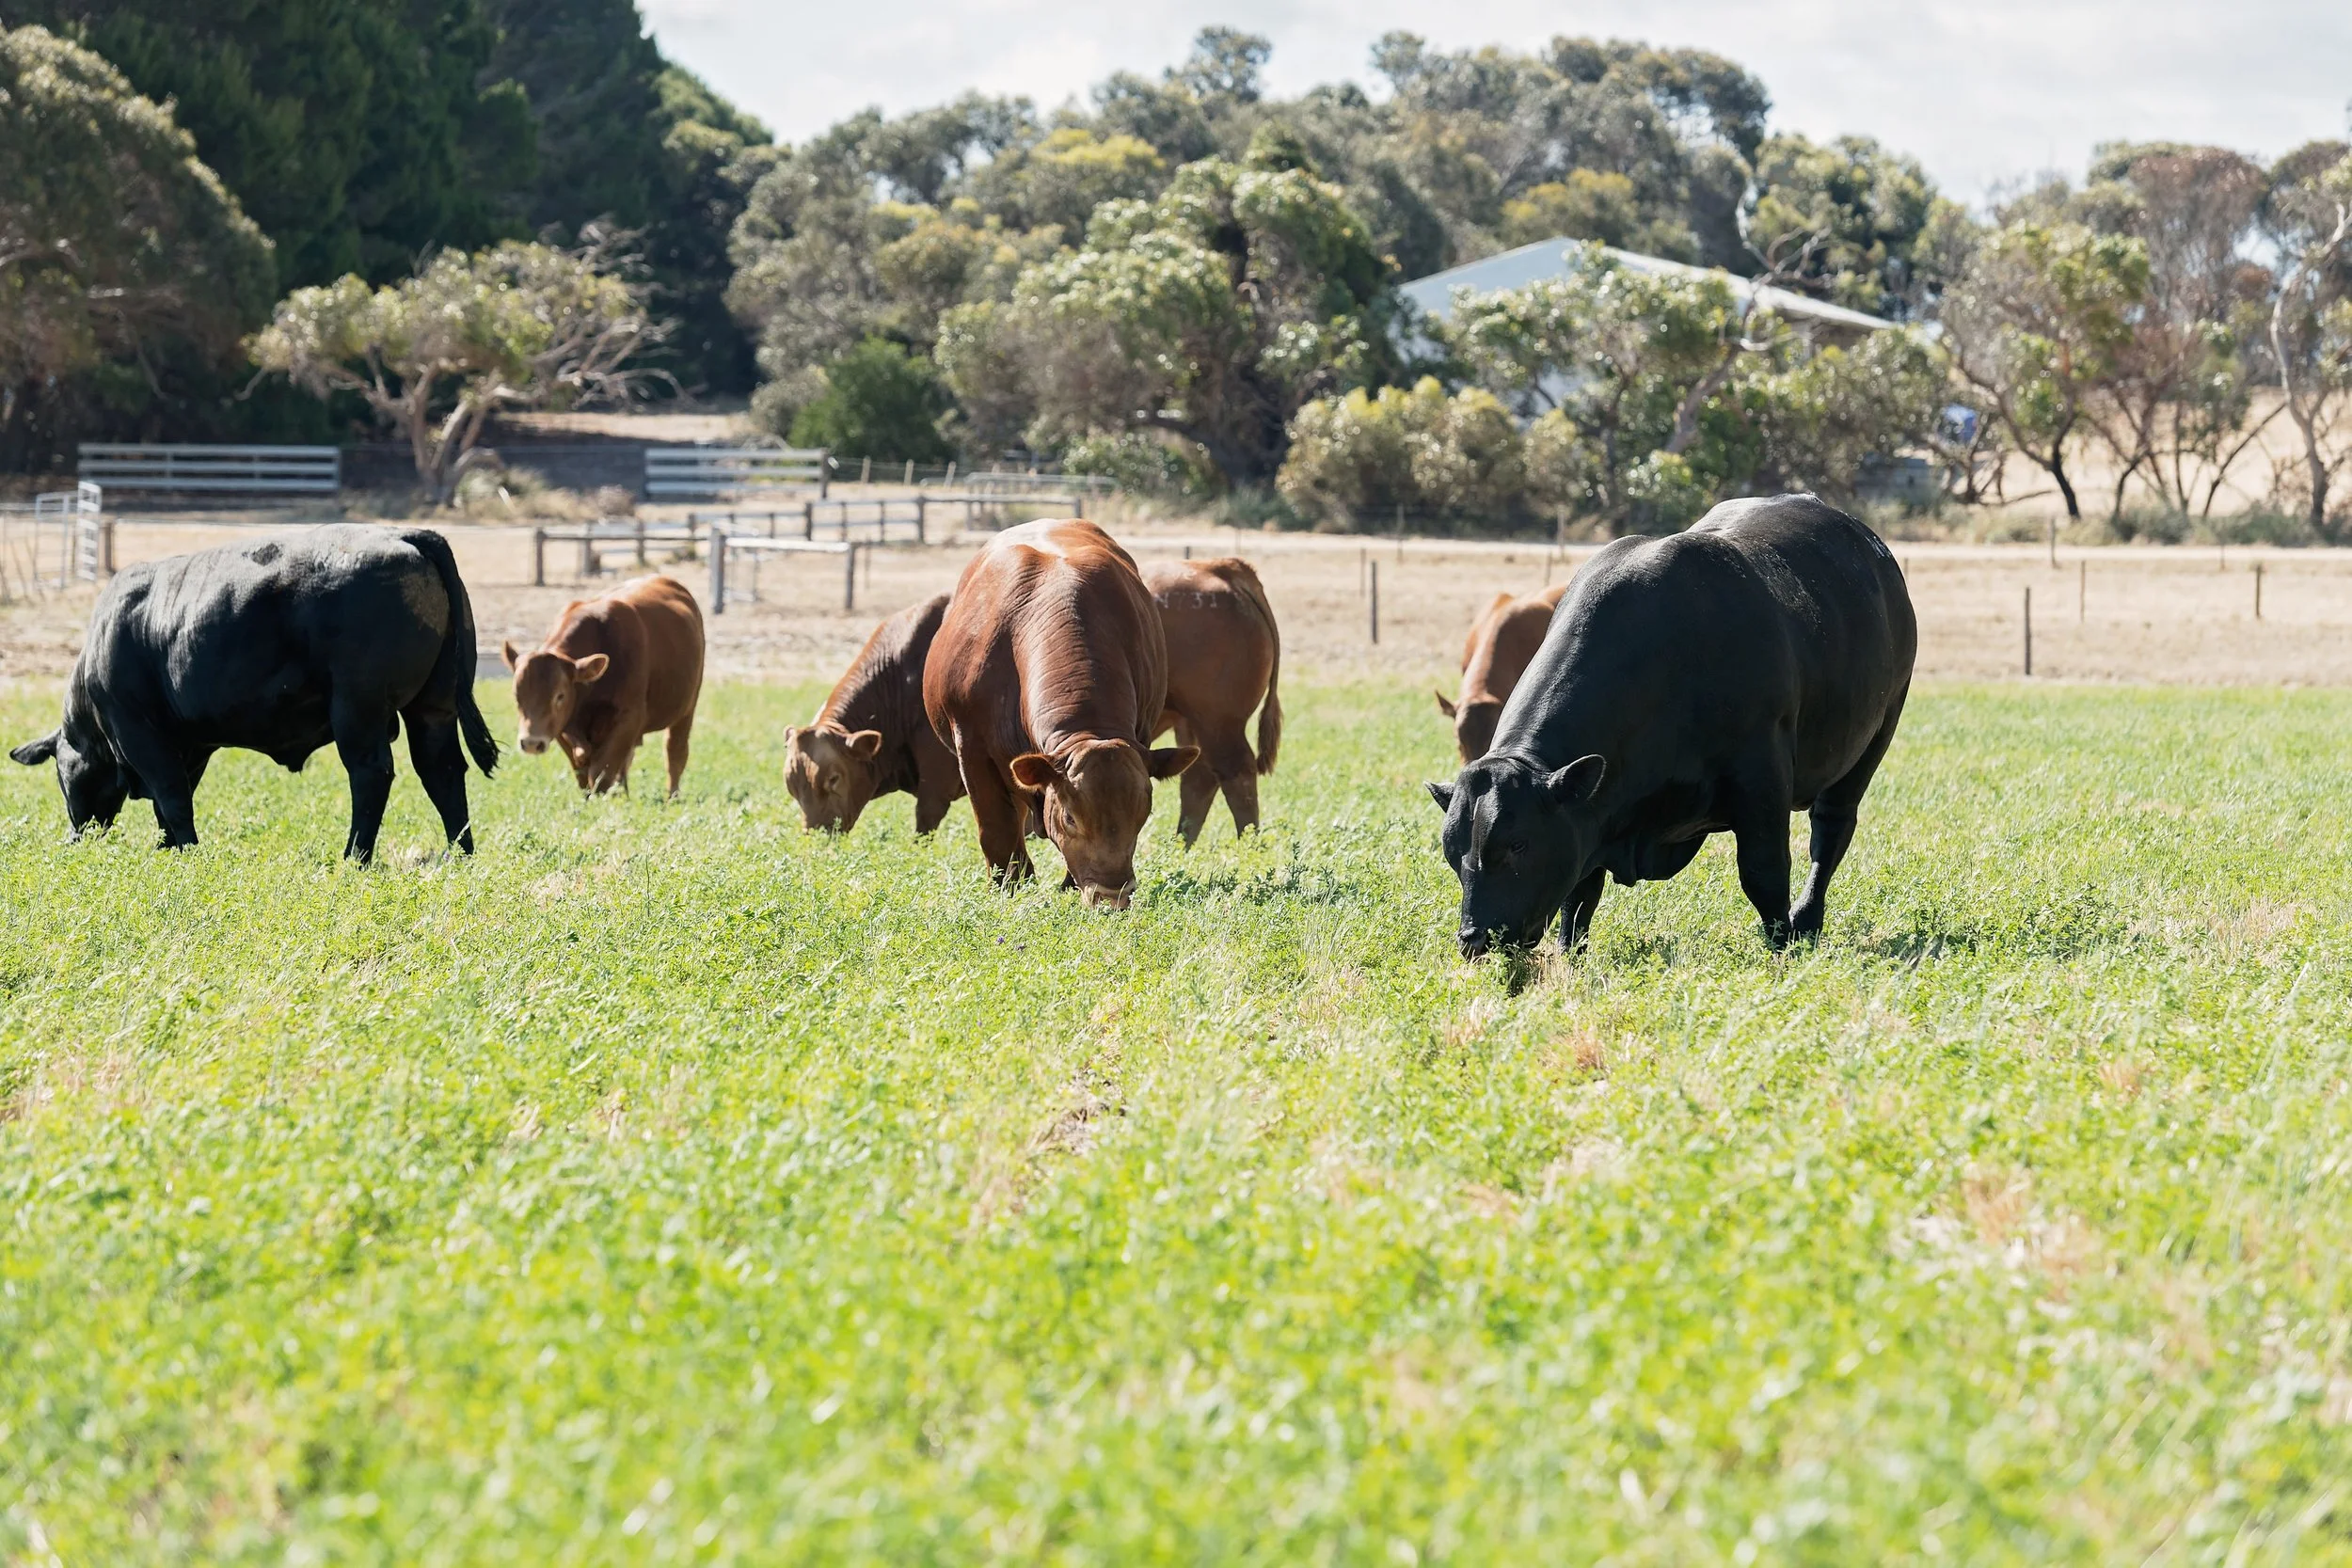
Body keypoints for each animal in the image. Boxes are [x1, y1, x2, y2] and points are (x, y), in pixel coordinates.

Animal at [9, 524, 498, 861]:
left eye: (61, 773)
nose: (77, 836)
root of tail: (400, 535)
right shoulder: (188, 743)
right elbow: (172, 801)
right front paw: (168, 848)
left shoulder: (138, 732)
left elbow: (172, 796)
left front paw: (187, 852)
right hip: (433, 707)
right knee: (442, 771)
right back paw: (461, 855)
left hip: (358, 708)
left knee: (371, 774)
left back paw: (354, 858)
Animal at [501, 574, 704, 797]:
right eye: (517, 696)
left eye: (560, 696)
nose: (531, 743)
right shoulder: (561, 727)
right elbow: (582, 772)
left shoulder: (628, 719)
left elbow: (601, 773)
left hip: (687, 708)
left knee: (675, 753)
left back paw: (672, 797)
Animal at [923, 518, 1196, 909]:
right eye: (1070, 817)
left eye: (1143, 812)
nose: (1112, 895)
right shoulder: (971, 747)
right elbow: (995, 827)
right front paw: (1009, 885)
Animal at [1144, 557, 1282, 844]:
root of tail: (1219, 566)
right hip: (1191, 723)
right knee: (1198, 778)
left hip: (1217, 721)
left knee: (1235, 773)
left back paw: (1247, 846)